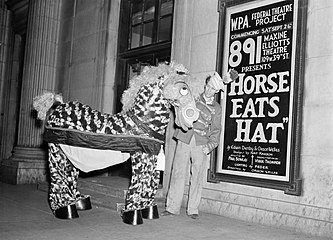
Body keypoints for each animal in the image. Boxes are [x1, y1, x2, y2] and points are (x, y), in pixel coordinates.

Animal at [33, 62, 198, 224]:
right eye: (184, 89)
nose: (193, 115)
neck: (142, 122)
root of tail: (59, 105)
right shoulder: (140, 156)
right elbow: (140, 182)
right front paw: (132, 214)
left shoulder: (152, 156)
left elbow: (150, 183)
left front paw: (148, 210)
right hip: (56, 150)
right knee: (58, 177)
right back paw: (65, 209)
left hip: (70, 151)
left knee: (70, 175)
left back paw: (79, 201)